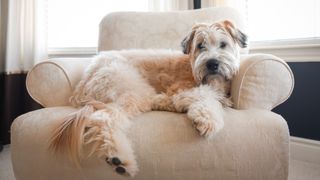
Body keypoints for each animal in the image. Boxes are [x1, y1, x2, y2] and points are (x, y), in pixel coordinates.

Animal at [48, 19, 248, 176]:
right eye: (200, 46)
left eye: (223, 44)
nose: (212, 63)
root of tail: (86, 77)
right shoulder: (182, 89)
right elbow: (206, 95)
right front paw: (208, 119)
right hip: (132, 90)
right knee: (104, 119)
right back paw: (120, 159)